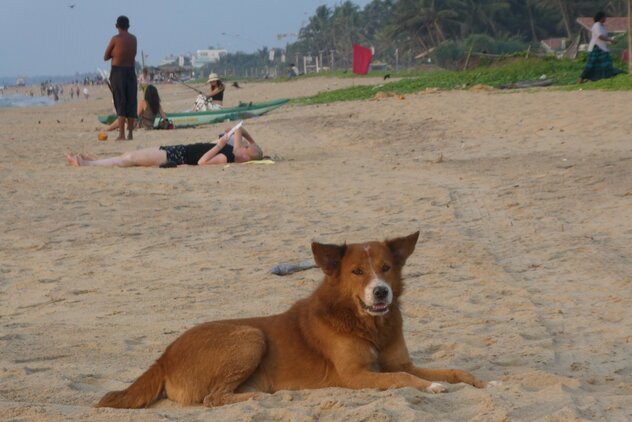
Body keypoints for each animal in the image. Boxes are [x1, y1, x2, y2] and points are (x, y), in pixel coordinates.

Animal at [96, 231, 486, 408]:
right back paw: (261, 398)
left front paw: (477, 380)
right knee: (212, 398)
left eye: (387, 268)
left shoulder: (400, 361)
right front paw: (431, 387)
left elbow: (450, 370)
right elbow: (404, 379)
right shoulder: (355, 376)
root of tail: (163, 357)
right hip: (250, 336)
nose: (381, 293)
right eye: (358, 272)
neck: (367, 324)